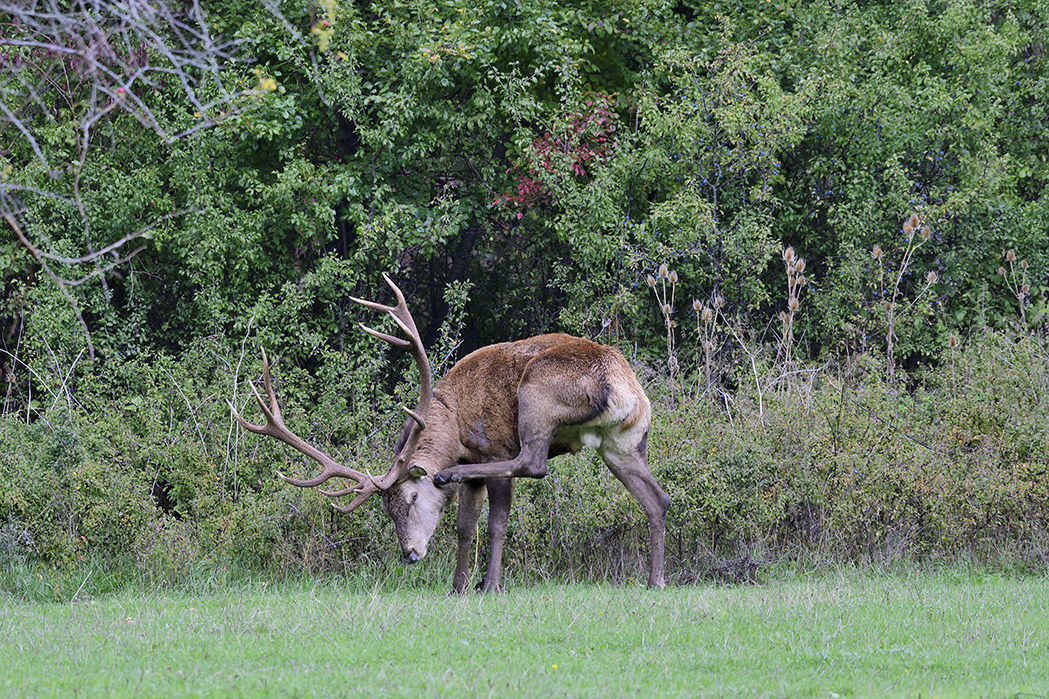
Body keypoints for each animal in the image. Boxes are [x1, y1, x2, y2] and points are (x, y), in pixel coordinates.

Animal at [230, 274, 670, 591]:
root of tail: (624, 387)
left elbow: (496, 523)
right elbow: (463, 527)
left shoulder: (493, 448)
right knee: (658, 498)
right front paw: (458, 585)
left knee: (533, 463)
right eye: (386, 510)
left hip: (537, 394)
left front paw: (489, 585)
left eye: (409, 498)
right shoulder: (476, 466)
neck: (455, 428)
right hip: (623, 443)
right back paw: (656, 580)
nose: (409, 553)